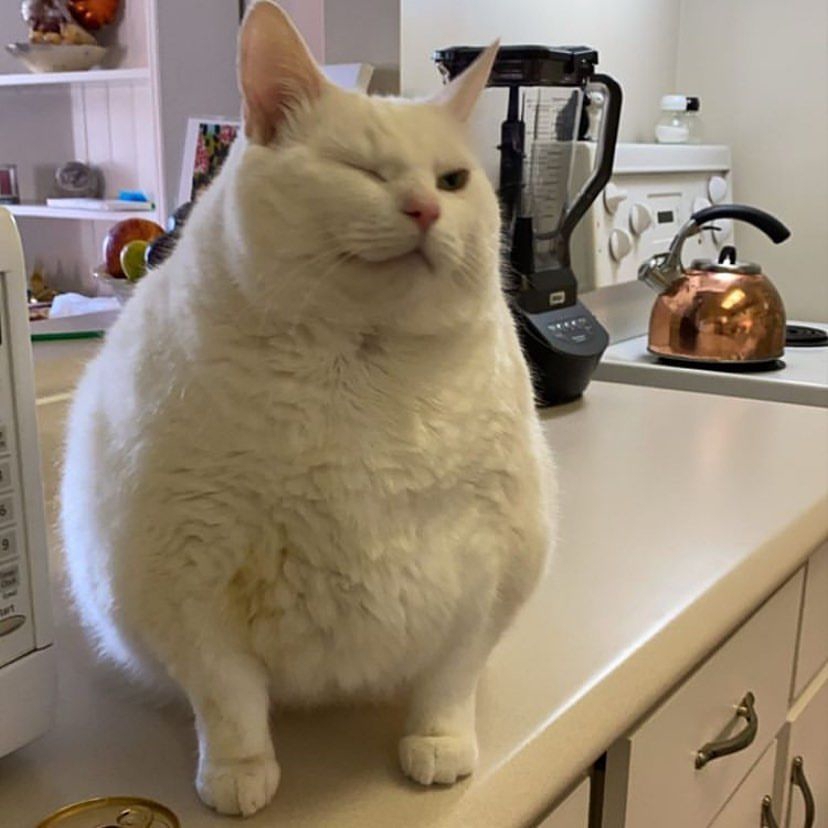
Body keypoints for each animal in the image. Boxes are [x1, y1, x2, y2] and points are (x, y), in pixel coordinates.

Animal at [60, 0, 555, 817]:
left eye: (453, 181)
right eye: (362, 172)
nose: (425, 208)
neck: (363, 366)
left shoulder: (491, 573)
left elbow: (448, 685)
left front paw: (439, 747)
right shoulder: (186, 580)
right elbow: (228, 699)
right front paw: (238, 776)